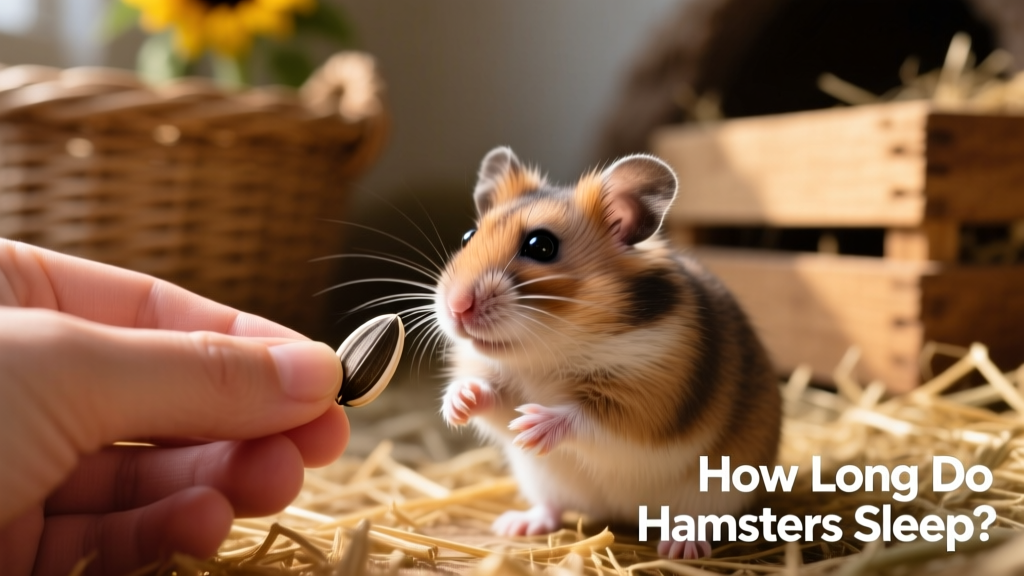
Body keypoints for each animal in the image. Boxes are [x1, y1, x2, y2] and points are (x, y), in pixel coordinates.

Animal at [434, 147, 781, 559]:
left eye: (541, 246)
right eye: (468, 236)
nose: (456, 307)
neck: (546, 349)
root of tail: (621, 514)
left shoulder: (648, 398)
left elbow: (589, 418)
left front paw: (533, 426)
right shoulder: (501, 383)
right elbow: (493, 401)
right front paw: (459, 404)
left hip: (715, 491)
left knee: (699, 521)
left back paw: (680, 548)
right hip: (541, 480)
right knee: (551, 507)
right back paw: (516, 525)